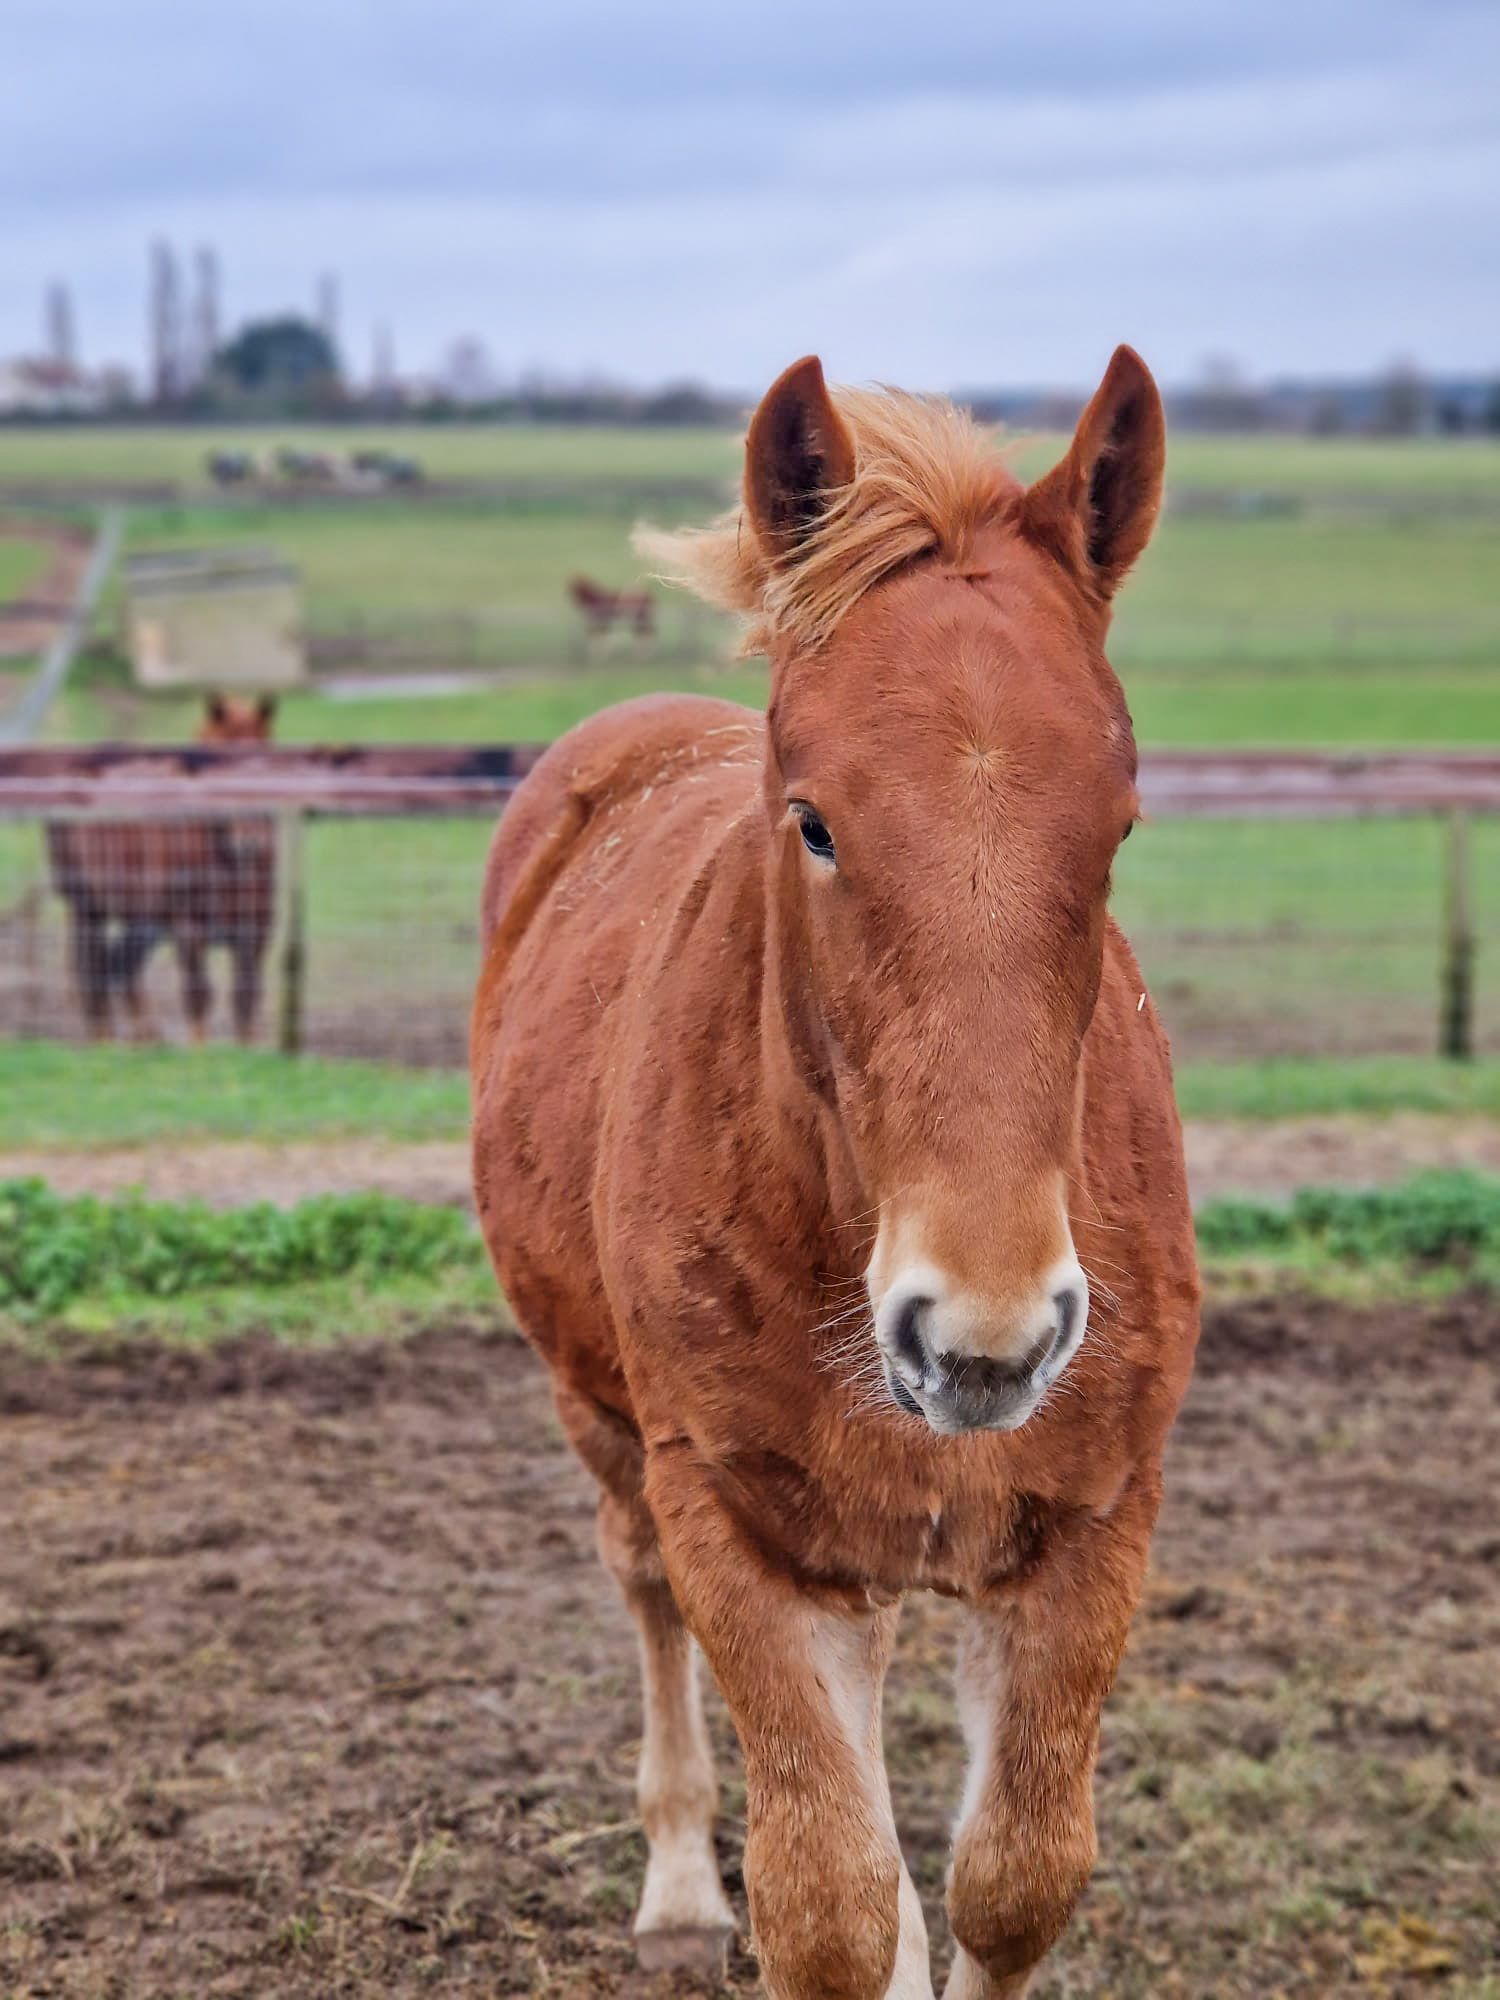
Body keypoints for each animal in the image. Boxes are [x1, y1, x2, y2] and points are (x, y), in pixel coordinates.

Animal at [48, 694, 278, 1043]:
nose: (250, 841)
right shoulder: (188, 928)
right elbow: (199, 994)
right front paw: (200, 1050)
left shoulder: (256, 930)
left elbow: (246, 995)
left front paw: (248, 1050)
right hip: (89, 907)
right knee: (93, 969)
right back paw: (103, 1039)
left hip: (143, 918)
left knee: (121, 965)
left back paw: (144, 1038)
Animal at [472, 348, 1200, 1999]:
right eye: (810, 818)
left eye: (1121, 828)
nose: (988, 1334)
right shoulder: (737, 1523)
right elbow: (826, 1905)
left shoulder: (1094, 1521)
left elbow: (1014, 1879)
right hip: (605, 1422)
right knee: (644, 1596)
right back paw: (681, 1881)